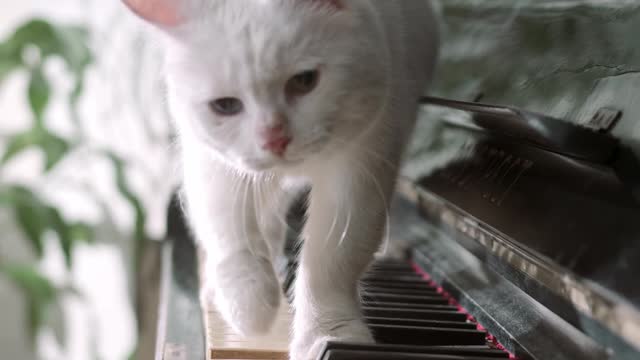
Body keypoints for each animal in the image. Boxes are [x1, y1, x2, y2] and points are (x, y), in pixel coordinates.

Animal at [122, 0, 438, 358]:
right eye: (225, 106)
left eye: (304, 81)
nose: (274, 139)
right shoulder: (214, 162)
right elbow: (230, 232)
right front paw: (250, 309)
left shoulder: (363, 165)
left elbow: (332, 261)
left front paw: (329, 334)